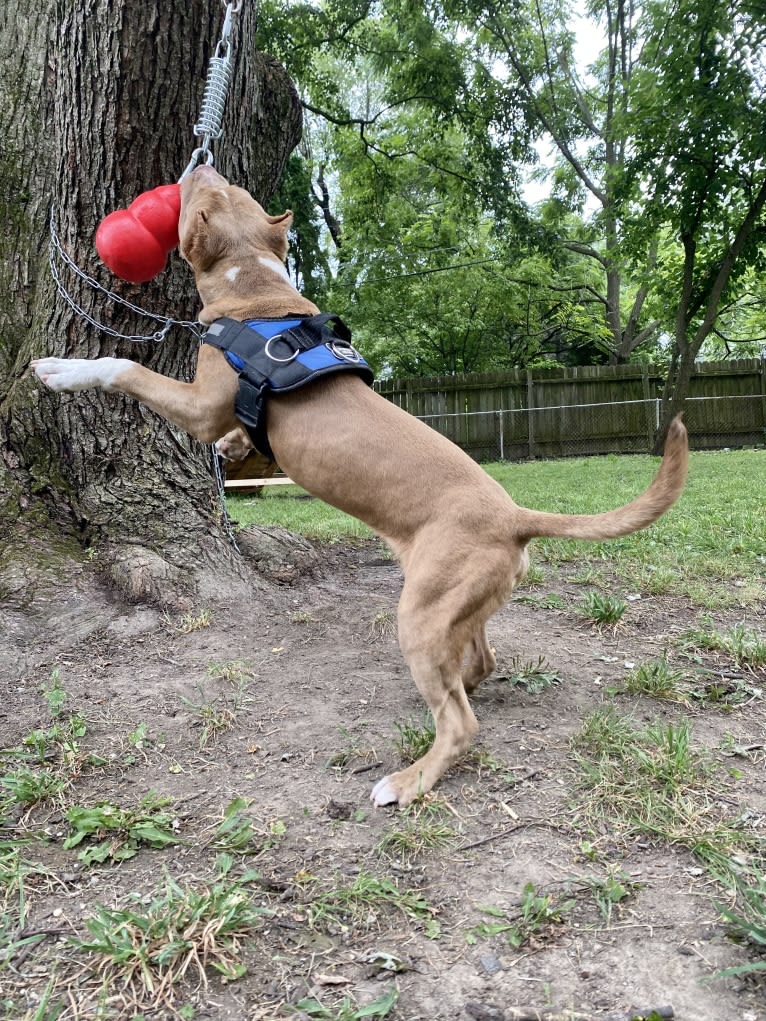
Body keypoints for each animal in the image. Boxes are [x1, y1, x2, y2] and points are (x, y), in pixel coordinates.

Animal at [32, 165, 690, 804]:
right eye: (224, 185)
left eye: (202, 195)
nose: (199, 160)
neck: (255, 287)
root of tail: (514, 516)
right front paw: (233, 450)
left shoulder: (199, 405)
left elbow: (126, 367)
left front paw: (63, 369)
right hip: (456, 608)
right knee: (479, 662)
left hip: (420, 617)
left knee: (461, 722)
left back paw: (408, 781)